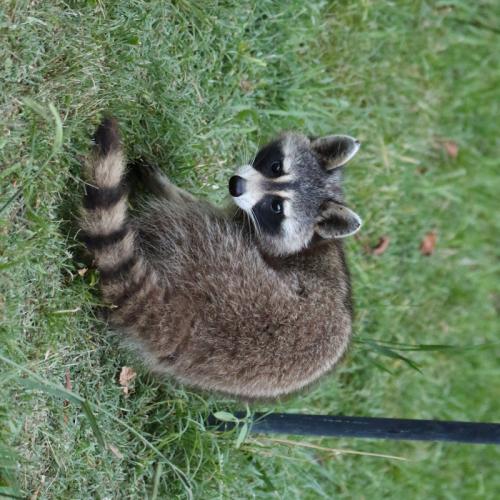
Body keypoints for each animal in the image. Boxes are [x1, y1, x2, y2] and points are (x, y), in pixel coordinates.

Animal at [80, 118, 362, 399]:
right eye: (276, 167)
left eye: (276, 207)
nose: (236, 184)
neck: (315, 241)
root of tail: (187, 317)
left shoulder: (247, 230)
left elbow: (197, 204)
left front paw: (162, 185)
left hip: (207, 247)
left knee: (185, 216)